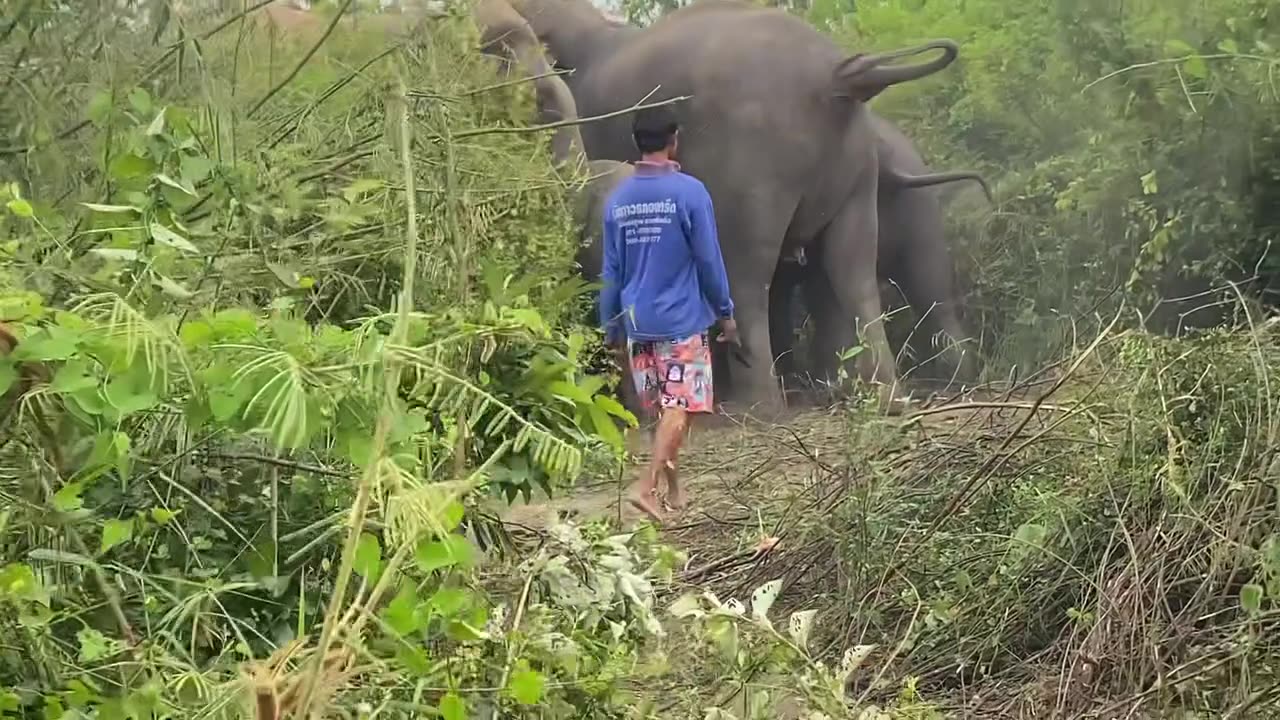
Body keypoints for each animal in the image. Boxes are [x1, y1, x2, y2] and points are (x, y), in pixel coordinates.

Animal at [506, 0, 962, 409]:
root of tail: (840, 74)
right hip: (857, 168)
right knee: (854, 267)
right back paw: (884, 398)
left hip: (752, 160)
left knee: (746, 269)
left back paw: (757, 408)